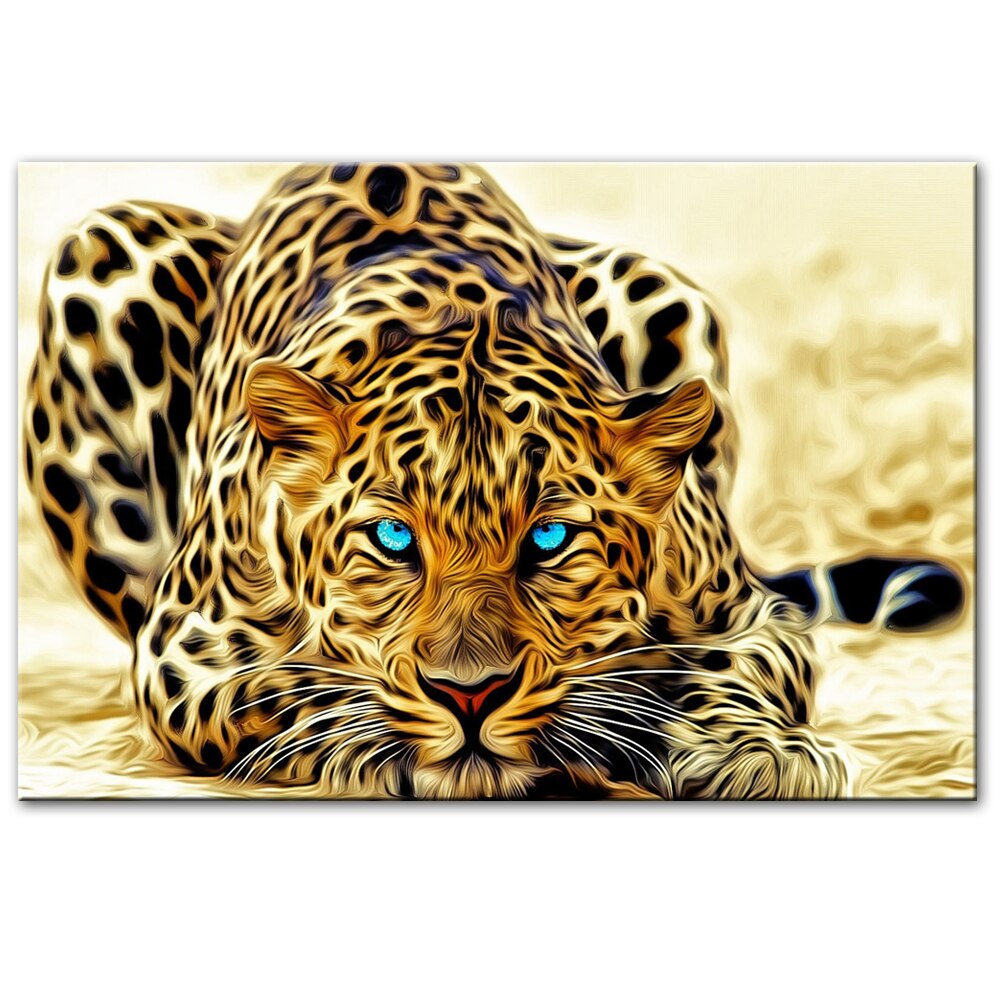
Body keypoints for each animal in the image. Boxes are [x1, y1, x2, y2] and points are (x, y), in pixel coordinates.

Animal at [22, 163, 965, 798]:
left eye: (550, 538)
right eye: (392, 538)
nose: (469, 695)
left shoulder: (748, 614)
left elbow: (725, 669)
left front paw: (753, 751)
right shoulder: (184, 645)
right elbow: (285, 688)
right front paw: (373, 742)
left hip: (661, 288)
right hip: (102, 251)